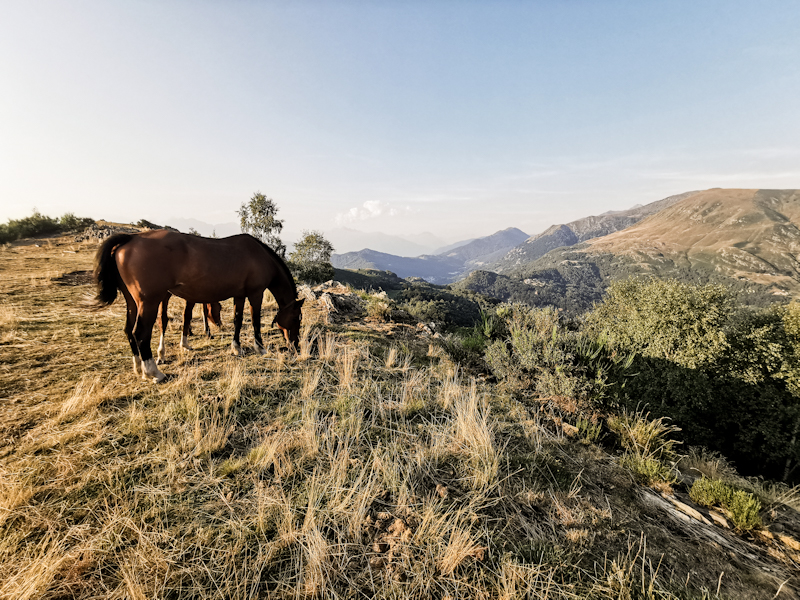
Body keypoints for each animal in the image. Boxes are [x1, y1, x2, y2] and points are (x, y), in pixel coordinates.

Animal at [92, 230, 304, 380]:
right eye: (296, 318)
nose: (295, 345)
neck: (258, 255)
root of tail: (131, 239)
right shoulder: (255, 294)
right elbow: (255, 321)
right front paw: (260, 348)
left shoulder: (239, 295)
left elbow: (237, 320)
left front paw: (236, 347)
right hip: (149, 302)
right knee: (140, 333)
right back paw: (154, 372)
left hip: (133, 303)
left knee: (129, 330)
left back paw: (138, 367)